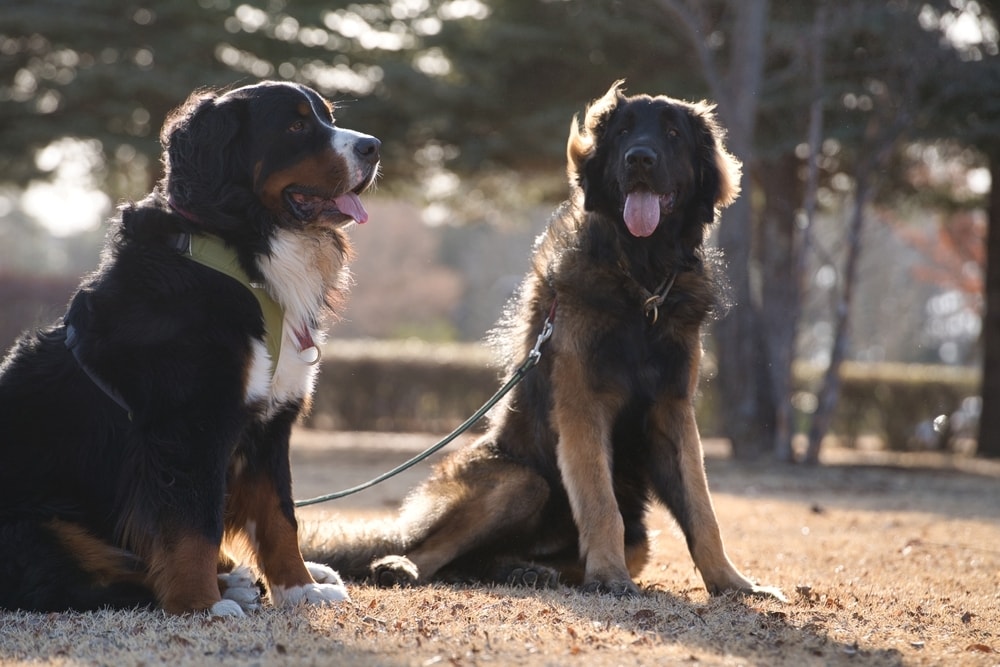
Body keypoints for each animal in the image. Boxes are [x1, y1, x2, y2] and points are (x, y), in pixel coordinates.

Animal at [0, 79, 380, 616]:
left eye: (327, 116)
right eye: (296, 125)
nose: (373, 147)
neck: (241, 253)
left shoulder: (269, 423)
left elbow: (280, 517)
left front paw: (299, 588)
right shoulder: (187, 421)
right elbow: (192, 524)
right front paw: (201, 604)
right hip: (38, 524)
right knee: (81, 581)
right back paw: (224, 588)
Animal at [300, 81, 784, 604]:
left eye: (673, 134)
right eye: (623, 132)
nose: (639, 158)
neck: (640, 280)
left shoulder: (672, 410)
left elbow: (702, 510)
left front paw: (733, 583)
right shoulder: (582, 404)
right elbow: (600, 503)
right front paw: (610, 577)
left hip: (634, 540)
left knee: (484, 562)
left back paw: (525, 570)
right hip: (521, 480)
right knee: (435, 552)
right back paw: (404, 566)